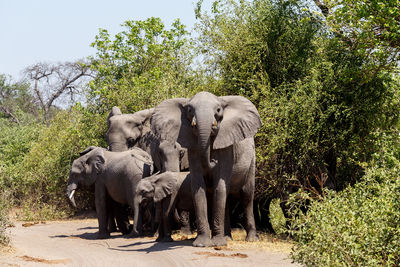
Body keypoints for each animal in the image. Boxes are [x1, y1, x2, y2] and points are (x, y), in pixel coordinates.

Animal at [152, 91, 260, 247]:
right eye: (189, 110)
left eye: (219, 110)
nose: (213, 160)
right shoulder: (193, 148)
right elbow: (199, 187)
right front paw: (202, 243)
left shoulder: (227, 148)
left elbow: (219, 185)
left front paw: (217, 244)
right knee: (226, 199)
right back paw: (227, 238)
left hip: (252, 160)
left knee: (247, 195)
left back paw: (251, 239)